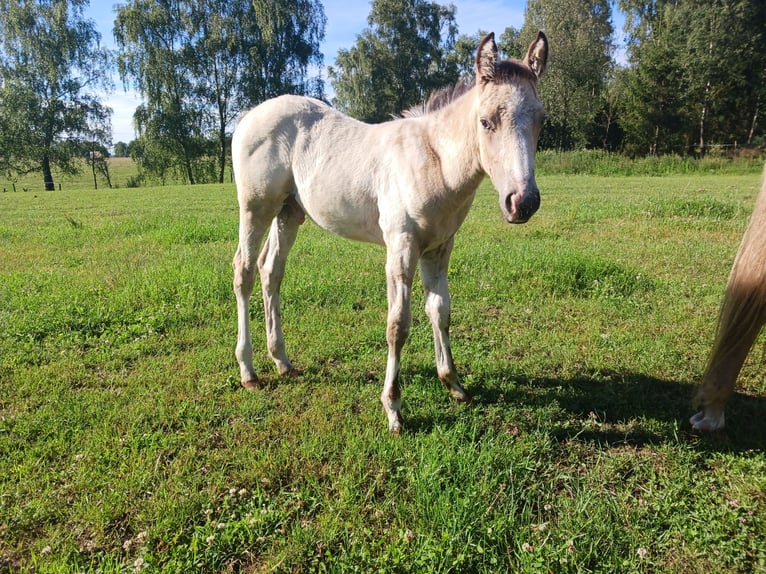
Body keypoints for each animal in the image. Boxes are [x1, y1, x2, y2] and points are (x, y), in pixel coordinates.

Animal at [231, 31, 548, 432]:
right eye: (486, 122)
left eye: (541, 120)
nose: (523, 202)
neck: (434, 162)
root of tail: (249, 116)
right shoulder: (401, 247)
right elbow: (398, 325)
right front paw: (393, 408)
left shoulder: (440, 248)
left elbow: (441, 311)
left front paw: (453, 384)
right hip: (256, 208)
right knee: (244, 270)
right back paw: (248, 371)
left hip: (289, 212)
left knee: (270, 270)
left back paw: (283, 362)